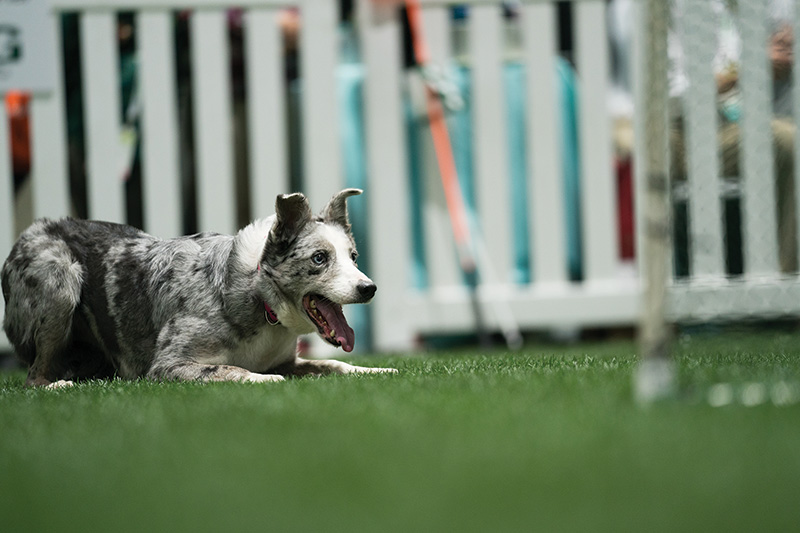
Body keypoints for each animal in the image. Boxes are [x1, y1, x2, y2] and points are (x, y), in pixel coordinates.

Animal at [1, 188, 396, 386]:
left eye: (354, 256)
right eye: (319, 258)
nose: (369, 288)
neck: (259, 297)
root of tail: (31, 230)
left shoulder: (289, 361)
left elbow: (334, 364)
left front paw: (378, 371)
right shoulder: (168, 365)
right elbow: (230, 370)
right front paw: (263, 380)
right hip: (59, 282)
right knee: (33, 378)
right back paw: (56, 384)